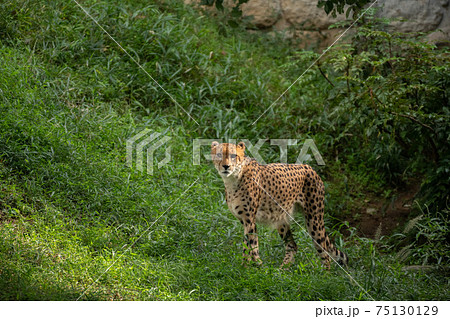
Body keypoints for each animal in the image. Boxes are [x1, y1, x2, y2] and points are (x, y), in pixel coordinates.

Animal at [211, 141, 348, 268]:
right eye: (219, 154)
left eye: (233, 155)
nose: (226, 166)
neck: (232, 178)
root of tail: (309, 167)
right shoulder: (244, 219)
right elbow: (250, 244)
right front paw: (252, 266)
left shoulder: (249, 219)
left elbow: (251, 244)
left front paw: (250, 267)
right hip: (281, 219)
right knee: (292, 245)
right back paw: (282, 271)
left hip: (314, 220)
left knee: (325, 252)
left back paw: (323, 275)